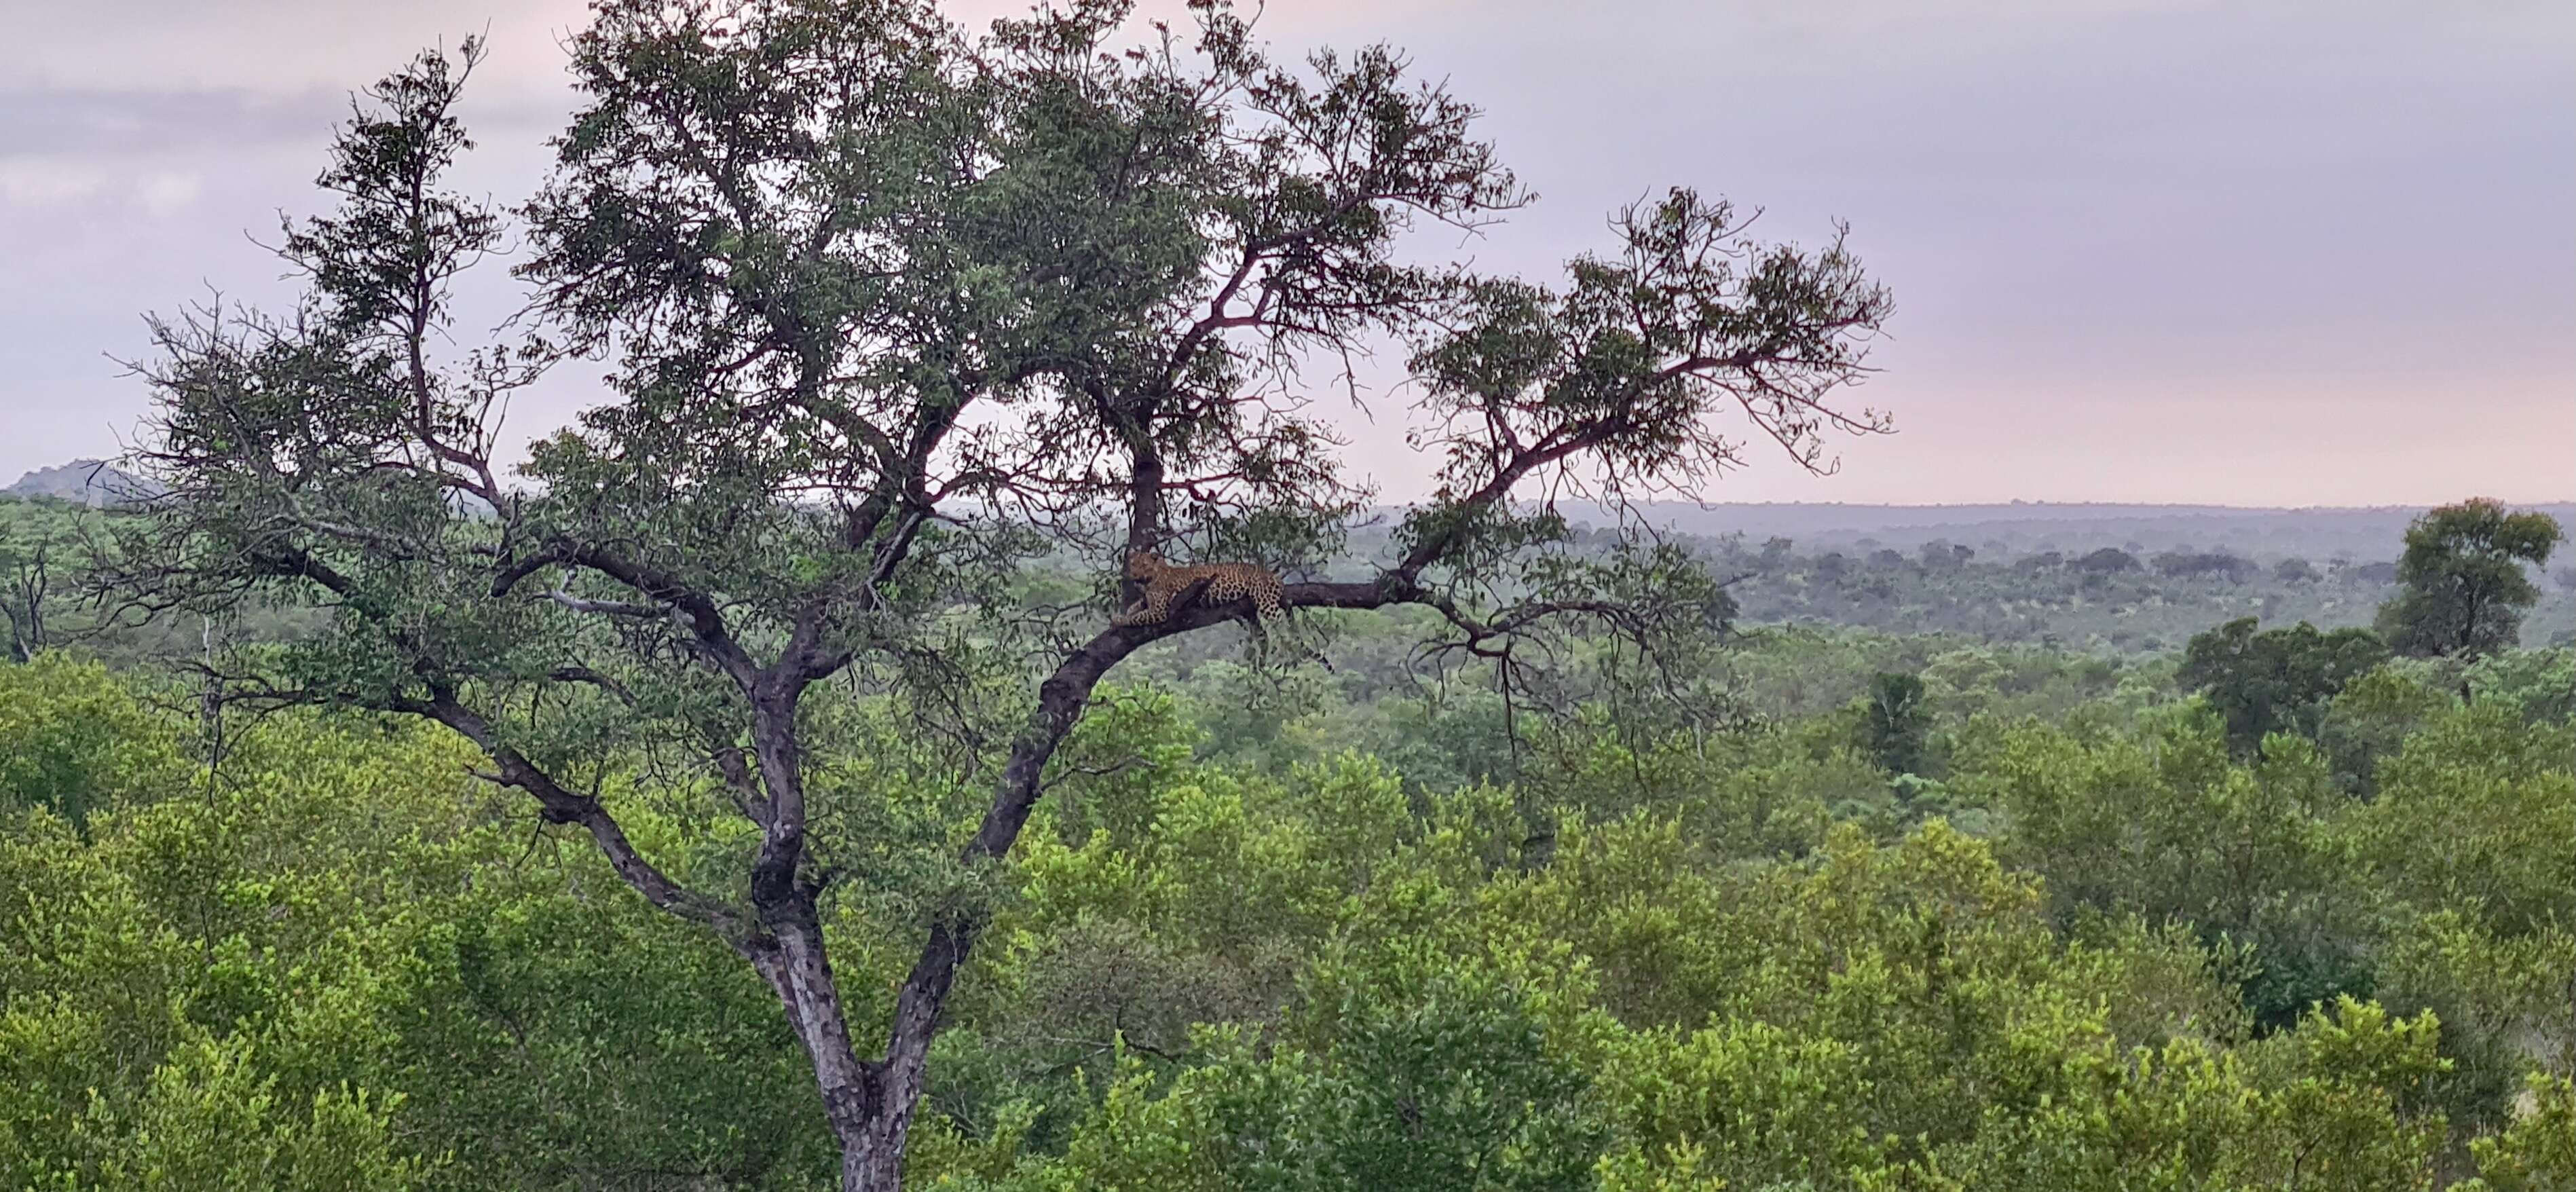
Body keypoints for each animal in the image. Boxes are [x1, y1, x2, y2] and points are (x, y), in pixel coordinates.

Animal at [1118, 551, 1288, 625]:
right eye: (1133, 564)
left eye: (1144, 565)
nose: (1134, 574)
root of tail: (1272, 573)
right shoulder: (1148, 601)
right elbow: (1135, 606)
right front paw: (1125, 612)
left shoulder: (1159, 611)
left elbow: (1137, 617)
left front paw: (1119, 620)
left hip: (1265, 600)